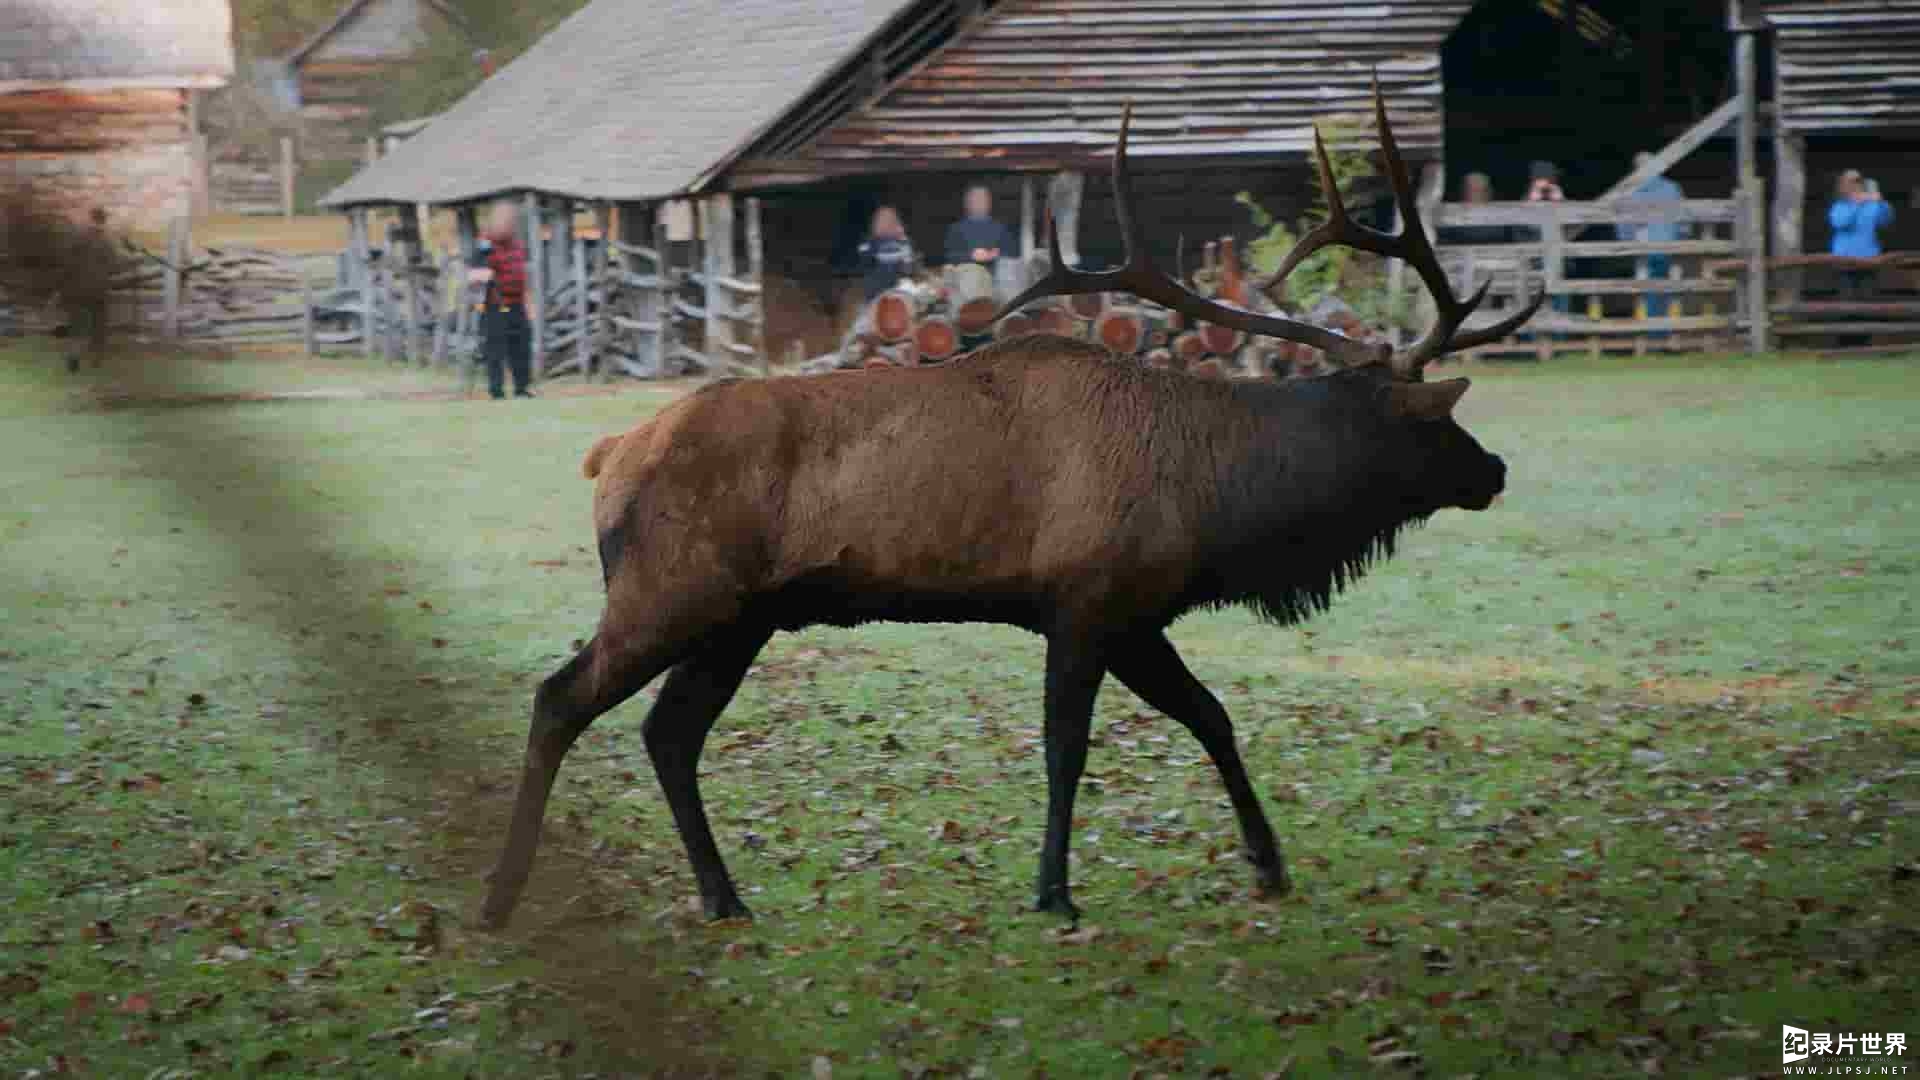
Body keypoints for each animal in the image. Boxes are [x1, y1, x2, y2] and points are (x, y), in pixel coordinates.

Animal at [480, 88, 1543, 926]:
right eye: (1436, 423)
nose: (1494, 469)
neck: (1217, 498)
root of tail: (611, 455)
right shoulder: (1083, 596)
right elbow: (1066, 748)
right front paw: (1055, 891)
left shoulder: (1138, 613)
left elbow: (1211, 717)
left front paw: (1270, 863)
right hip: (673, 589)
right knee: (561, 696)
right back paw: (501, 897)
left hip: (742, 617)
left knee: (669, 733)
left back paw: (723, 896)